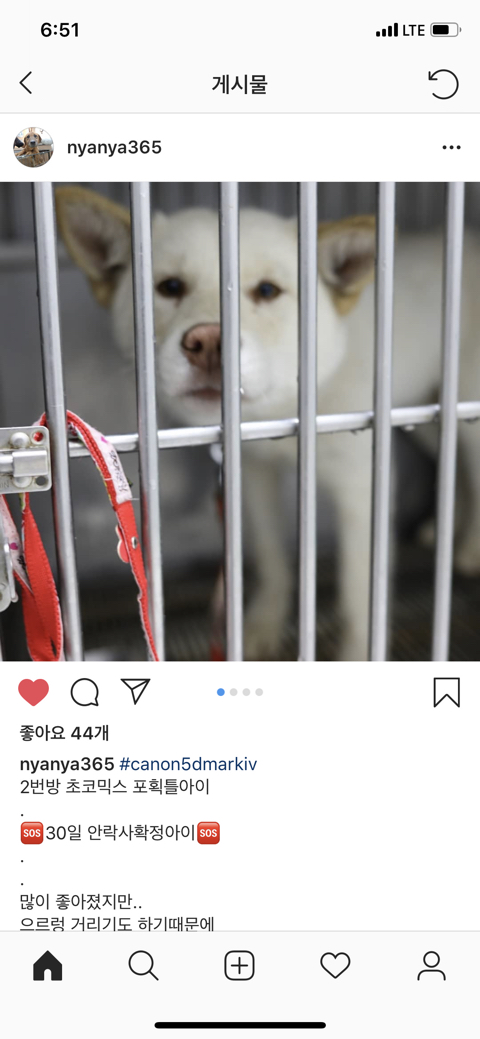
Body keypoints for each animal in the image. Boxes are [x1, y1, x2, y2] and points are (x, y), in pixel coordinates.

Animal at [56, 186, 480, 660]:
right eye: (169, 287)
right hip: (428, 415)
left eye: (267, 291)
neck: (285, 413)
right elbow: (272, 560)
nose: (207, 342)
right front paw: (262, 624)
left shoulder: (363, 490)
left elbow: (358, 592)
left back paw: (469, 545)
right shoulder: (254, 479)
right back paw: (442, 528)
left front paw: (357, 652)